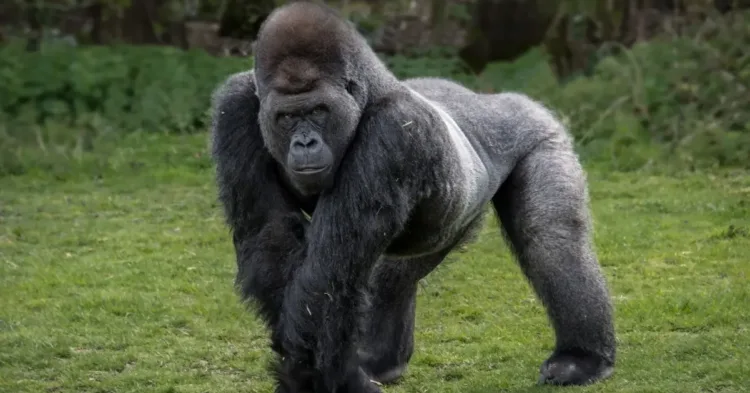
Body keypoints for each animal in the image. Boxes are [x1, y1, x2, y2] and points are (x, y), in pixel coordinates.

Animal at [210, 1, 616, 390]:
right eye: (287, 117)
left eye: (318, 111)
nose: (304, 142)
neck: (369, 91)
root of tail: (501, 98)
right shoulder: (235, 106)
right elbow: (271, 235)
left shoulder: (394, 131)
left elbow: (328, 276)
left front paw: (320, 379)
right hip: (456, 213)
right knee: (398, 269)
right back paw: (380, 358)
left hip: (541, 131)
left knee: (550, 236)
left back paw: (582, 357)